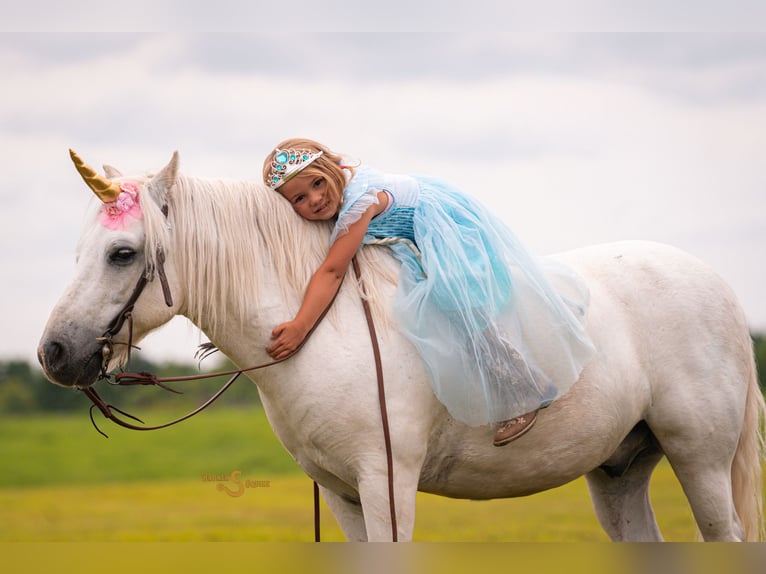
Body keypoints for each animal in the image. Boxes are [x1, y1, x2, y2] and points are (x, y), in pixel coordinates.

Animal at [38, 150, 765, 541]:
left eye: (122, 253)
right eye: (77, 251)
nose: (53, 354)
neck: (324, 328)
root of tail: (718, 287)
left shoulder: (387, 484)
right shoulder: (341, 494)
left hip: (699, 458)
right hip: (619, 470)